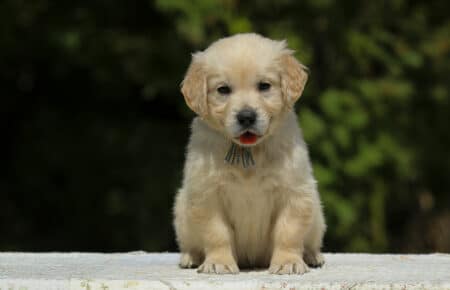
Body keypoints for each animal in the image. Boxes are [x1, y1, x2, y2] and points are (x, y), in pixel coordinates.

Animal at [172, 33, 324, 274]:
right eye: (223, 90)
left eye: (264, 86)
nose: (246, 117)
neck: (249, 151)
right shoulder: (206, 195)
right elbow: (216, 233)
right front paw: (218, 262)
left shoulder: (294, 192)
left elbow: (288, 231)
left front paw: (288, 262)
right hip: (181, 211)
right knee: (190, 243)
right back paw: (190, 257)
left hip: (317, 214)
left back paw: (312, 255)